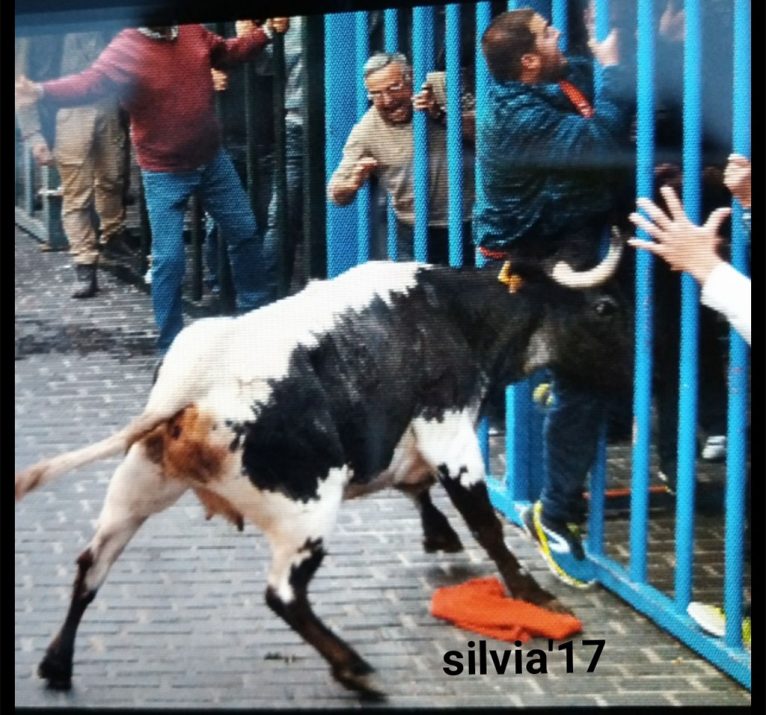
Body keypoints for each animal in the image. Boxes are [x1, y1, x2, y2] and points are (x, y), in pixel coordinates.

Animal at [15, 234, 632, 700]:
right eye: (605, 308)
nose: (635, 385)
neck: (449, 313)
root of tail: (196, 379)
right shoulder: (450, 429)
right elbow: (483, 521)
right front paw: (532, 592)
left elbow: (415, 486)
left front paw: (438, 532)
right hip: (305, 510)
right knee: (283, 595)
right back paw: (353, 667)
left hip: (139, 484)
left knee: (91, 564)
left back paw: (57, 663)